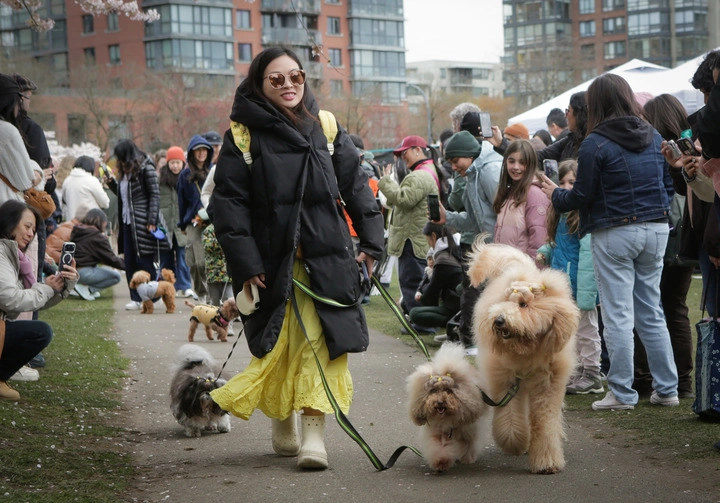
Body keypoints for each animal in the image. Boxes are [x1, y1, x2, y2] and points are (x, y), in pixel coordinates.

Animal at [407, 342, 488, 472]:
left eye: (448, 390)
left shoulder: (468, 429)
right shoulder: (439, 431)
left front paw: (467, 459)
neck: (448, 418)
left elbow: (469, 444)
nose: (440, 402)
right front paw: (441, 462)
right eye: (433, 391)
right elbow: (440, 446)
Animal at [468, 241, 579, 474]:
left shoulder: (548, 385)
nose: (499, 320)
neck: (528, 348)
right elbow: (510, 416)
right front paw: (514, 442)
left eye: (523, 305)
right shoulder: (507, 380)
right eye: (506, 300)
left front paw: (547, 462)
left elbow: (544, 423)